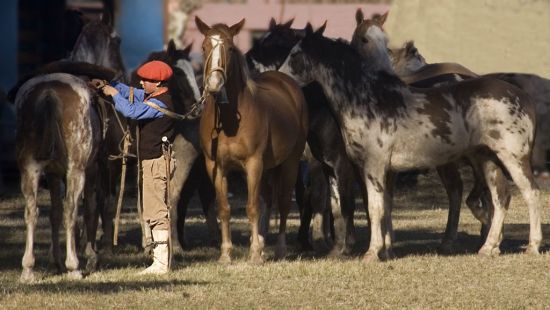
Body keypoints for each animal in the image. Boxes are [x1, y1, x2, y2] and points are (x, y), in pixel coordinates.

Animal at [197, 17, 310, 262]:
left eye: (230, 48)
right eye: (204, 47)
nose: (214, 84)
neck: (229, 120)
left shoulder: (253, 164)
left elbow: (252, 207)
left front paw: (255, 254)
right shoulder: (215, 166)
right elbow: (224, 209)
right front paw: (226, 253)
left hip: (290, 163)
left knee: (283, 203)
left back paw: (279, 248)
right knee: (267, 199)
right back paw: (261, 241)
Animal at [280, 23, 544, 262]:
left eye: (295, 54)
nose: (280, 77)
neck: (367, 100)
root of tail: (524, 97)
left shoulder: (372, 167)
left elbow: (374, 209)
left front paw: (372, 253)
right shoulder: (380, 171)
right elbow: (383, 208)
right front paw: (386, 251)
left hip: (513, 159)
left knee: (530, 193)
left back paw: (532, 246)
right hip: (487, 160)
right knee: (500, 197)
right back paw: (488, 247)